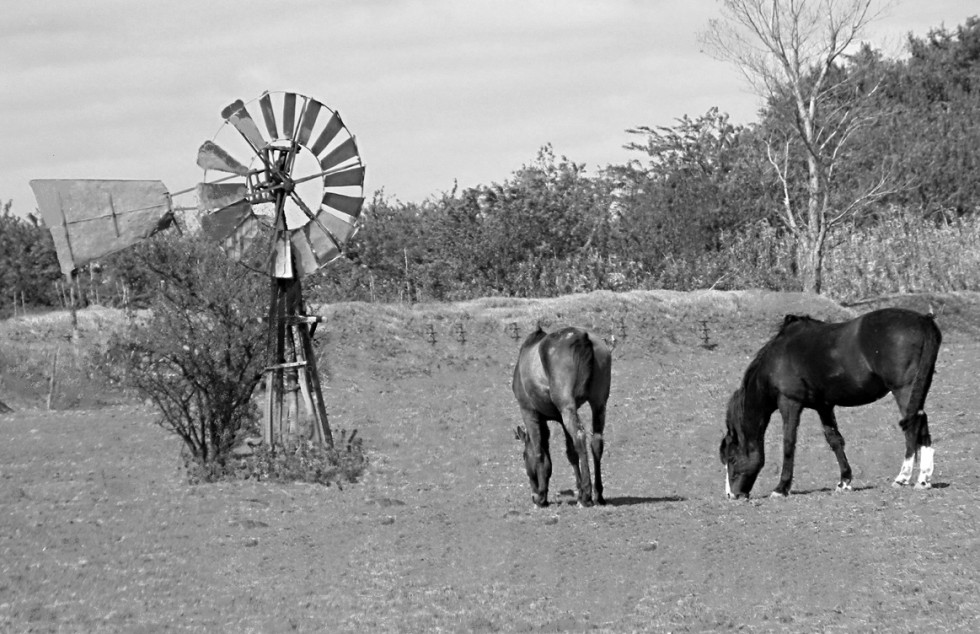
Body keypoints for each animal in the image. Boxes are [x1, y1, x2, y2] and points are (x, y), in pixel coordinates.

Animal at [516, 326, 608, 504]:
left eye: (523, 456)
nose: (533, 495)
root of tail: (580, 336)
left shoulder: (529, 412)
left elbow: (538, 451)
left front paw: (542, 495)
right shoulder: (559, 417)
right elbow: (571, 453)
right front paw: (578, 490)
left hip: (568, 407)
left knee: (579, 436)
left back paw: (587, 495)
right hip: (599, 404)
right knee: (596, 441)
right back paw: (598, 494)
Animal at [720, 308, 940, 498]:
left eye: (732, 458)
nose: (732, 495)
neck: (777, 359)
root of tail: (923, 320)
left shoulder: (789, 404)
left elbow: (789, 444)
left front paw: (781, 488)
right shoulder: (823, 406)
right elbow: (834, 440)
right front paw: (844, 481)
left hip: (904, 390)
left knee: (913, 426)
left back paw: (903, 477)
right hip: (917, 390)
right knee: (922, 424)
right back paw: (923, 480)